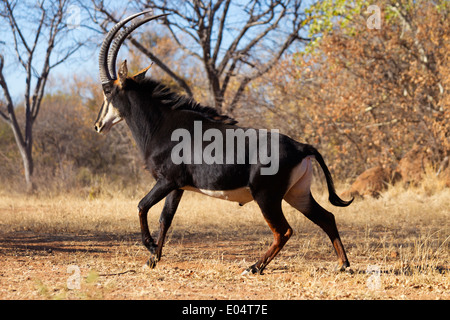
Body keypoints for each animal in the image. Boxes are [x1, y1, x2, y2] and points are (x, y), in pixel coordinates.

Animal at [96, 11, 356, 274]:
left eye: (107, 91)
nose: (98, 125)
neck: (162, 124)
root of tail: (302, 147)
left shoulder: (166, 181)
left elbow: (141, 206)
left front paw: (150, 248)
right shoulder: (177, 186)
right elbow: (165, 218)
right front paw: (153, 258)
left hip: (267, 196)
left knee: (284, 231)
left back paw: (254, 267)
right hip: (297, 194)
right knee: (326, 217)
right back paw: (343, 265)